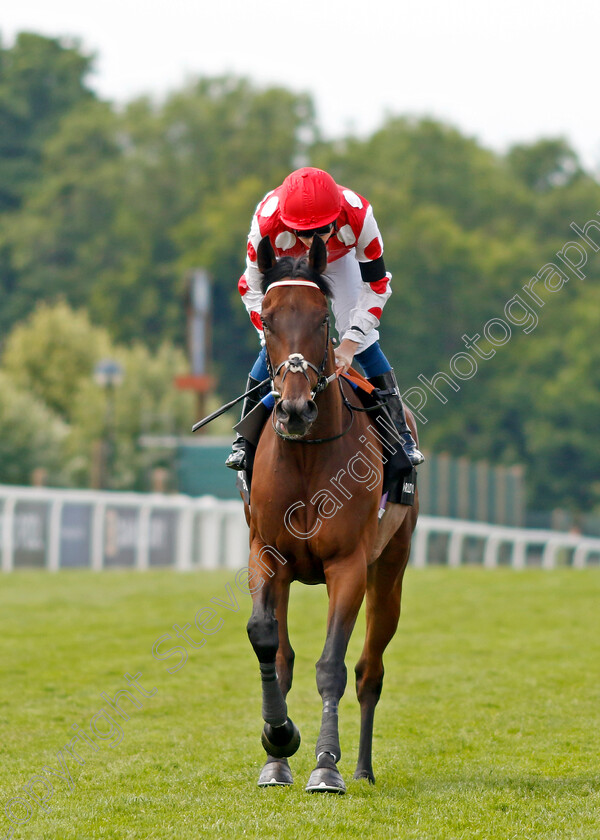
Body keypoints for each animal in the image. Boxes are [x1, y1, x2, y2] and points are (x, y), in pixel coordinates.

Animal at [244, 233, 418, 792]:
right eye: (268, 319)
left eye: (322, 320)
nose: (296, 409)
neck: (305, 455)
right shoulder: (266, 553)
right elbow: (270, 646)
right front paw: (278, 744)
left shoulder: (347, 566)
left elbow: (332, 667)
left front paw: (326, 764)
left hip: (389, 571)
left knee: (369, 671)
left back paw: (361, 767)